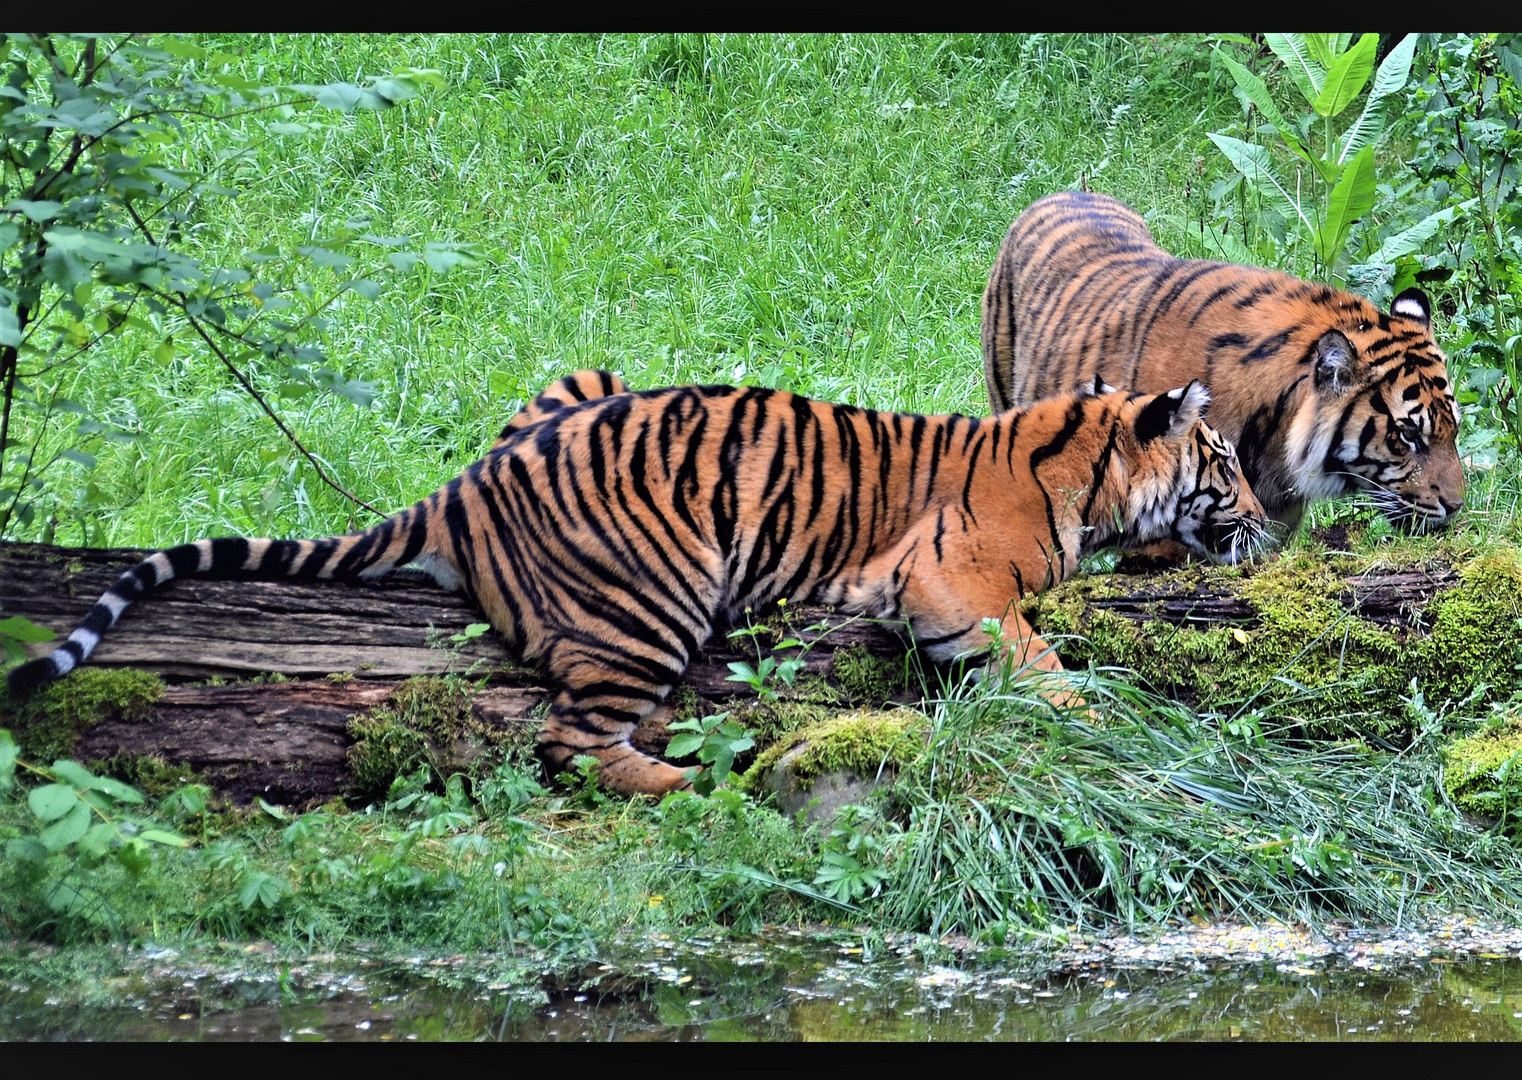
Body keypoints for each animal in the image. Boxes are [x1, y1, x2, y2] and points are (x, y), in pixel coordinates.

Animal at [5, 377, 1266, 797]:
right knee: (568, 742)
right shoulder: (951, 579)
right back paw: (683, 783)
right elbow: (1031, 652)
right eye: (1224, 464)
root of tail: (461, 490)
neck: (1085, 470)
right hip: (650, 601)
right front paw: (1092, 714)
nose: (1262, 525)